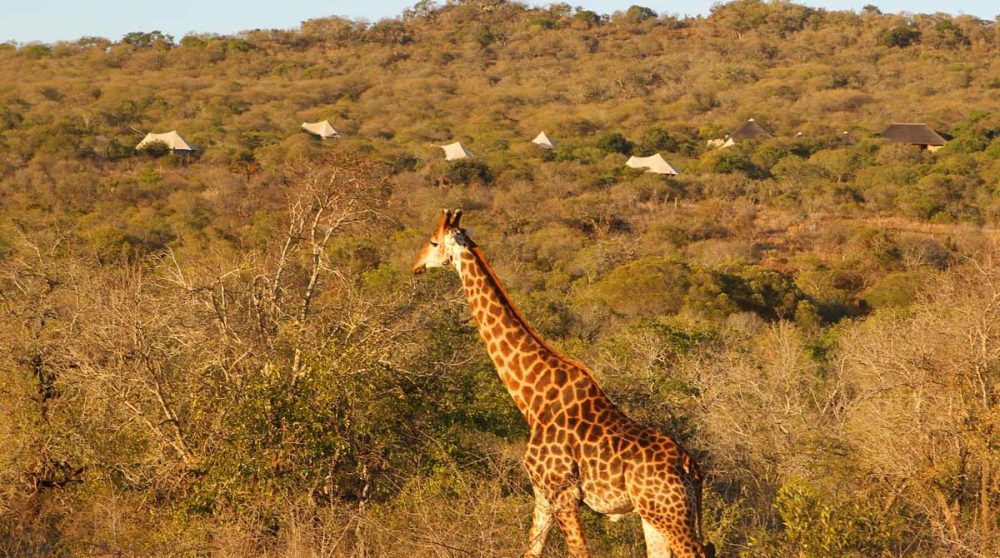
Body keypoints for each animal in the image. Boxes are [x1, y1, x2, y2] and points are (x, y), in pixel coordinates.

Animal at [413, 209, 715, 558]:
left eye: (433, 241)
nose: (416, 265)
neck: (532, 397)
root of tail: (692, 468)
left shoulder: (562, 491)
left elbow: (579, 552)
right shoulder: (542, 494)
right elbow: (531, 550)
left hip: (670, 515)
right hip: (653, 515)